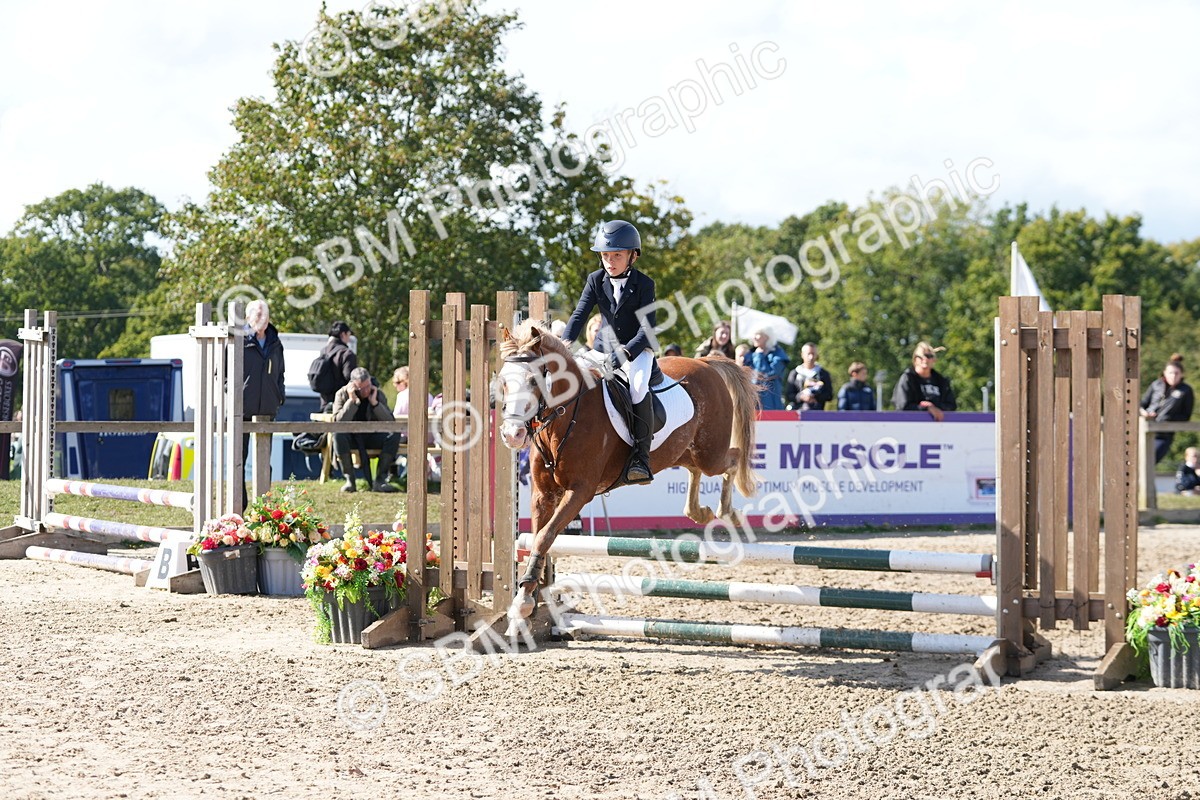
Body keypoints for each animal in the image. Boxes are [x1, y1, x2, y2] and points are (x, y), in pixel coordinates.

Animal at [496, 320, 760, 633]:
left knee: (733, 460)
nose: (512, 435)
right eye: (503, 380)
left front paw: (523, 604)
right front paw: (523, 605)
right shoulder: (543, 495)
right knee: (696, 470)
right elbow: (539, 539)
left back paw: (728, 512)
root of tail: (706, 363)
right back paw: (700, 512)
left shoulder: (580, 491)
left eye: (534, 381)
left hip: (711, 453)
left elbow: (544, 537)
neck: (564, 417)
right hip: (686, 451)